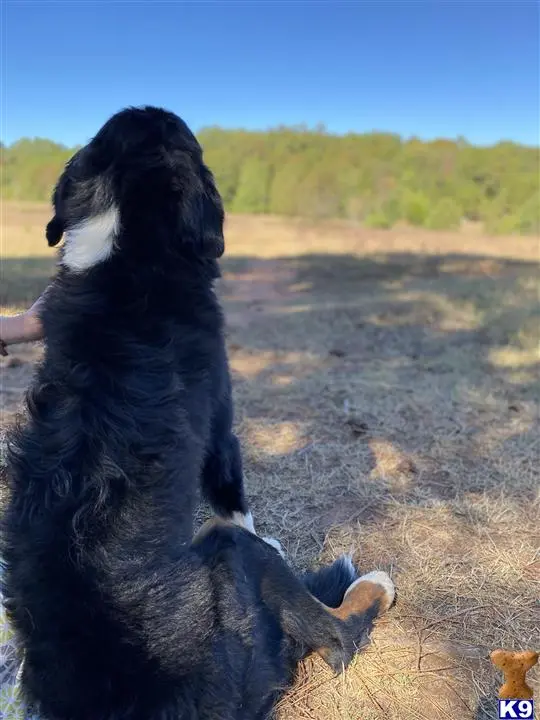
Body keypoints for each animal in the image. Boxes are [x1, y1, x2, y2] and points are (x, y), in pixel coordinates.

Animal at [2, 107, 394, 720]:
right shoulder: (221, 432)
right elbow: (238, 503)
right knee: (335, 633)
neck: (127, 256)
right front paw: (273, 538)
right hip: (231, 559)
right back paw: (372, 584)